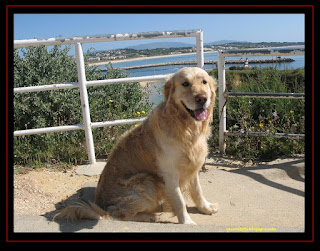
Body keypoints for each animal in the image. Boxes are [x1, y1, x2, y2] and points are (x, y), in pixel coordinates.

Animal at [55, 67, 220, 226]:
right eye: (185, 83)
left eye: (204, 82)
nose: (202, 98)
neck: (186, 127)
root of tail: (100, 206)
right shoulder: (169, 174)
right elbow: (179, 201)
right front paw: (187, 222)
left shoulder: (192, 166)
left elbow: (197, 191)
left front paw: (205, 207)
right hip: (146, 182)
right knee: (116, 213)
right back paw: (148, 216)